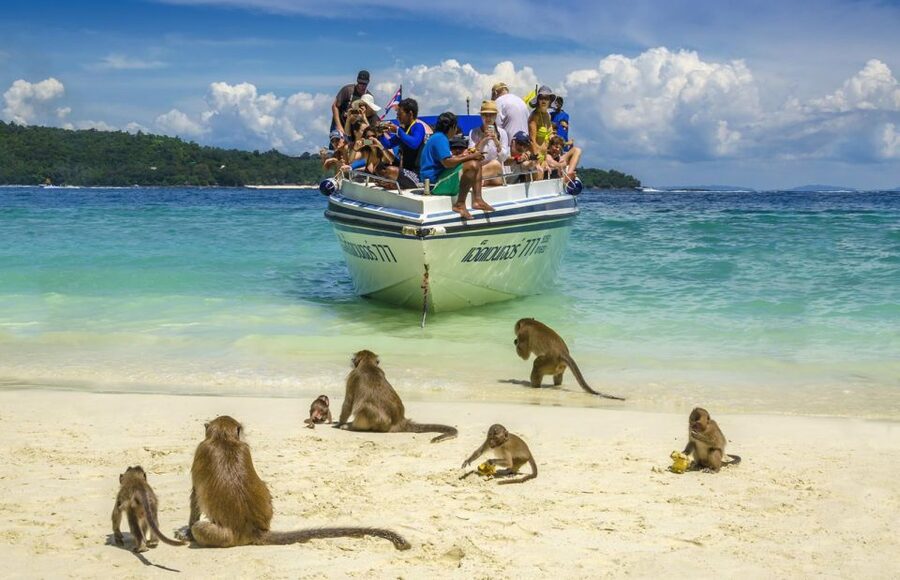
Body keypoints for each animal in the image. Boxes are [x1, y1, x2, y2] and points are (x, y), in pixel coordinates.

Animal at [184, 415, 411, 550]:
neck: (223, 439)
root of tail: (254, 530)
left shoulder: (200, 450)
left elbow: (195, 497)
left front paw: (187, 532)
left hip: (222, 536)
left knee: (200, 527)